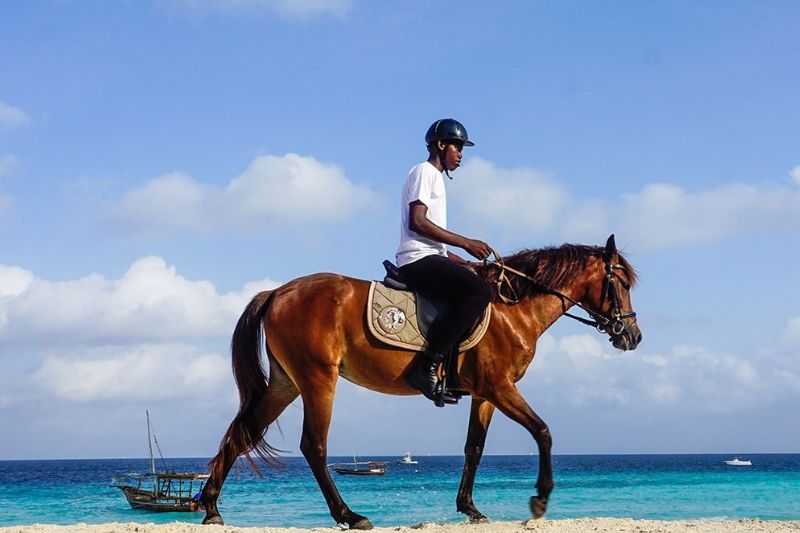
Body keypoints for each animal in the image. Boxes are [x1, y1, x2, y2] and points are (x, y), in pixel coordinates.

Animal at [200, 234, 642, 529]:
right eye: (621, 283)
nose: (632, 336)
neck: (513, 309)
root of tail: (278, 291)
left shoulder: (485, 395)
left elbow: (474, 449)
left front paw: (470, 509)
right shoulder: (501, 388)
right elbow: (544, 432)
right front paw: (540, 498)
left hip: (285, 384)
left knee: (242, 435)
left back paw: (211, 507)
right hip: (317, 378)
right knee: (313, 445)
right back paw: (350, 515)